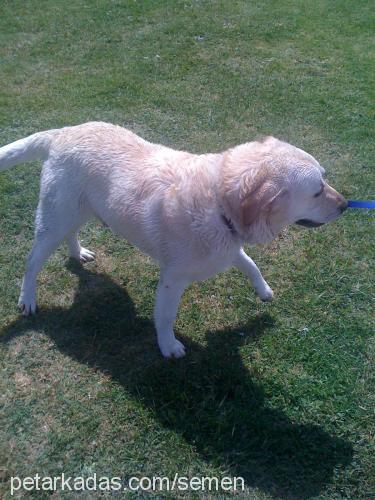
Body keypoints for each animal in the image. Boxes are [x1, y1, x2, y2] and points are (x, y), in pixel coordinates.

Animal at [0, 124, 348, 360]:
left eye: (324, 178)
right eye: (317, 191)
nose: (345, 205)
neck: (219, 203)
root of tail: (63, 131)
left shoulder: (227, 248)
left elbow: (251, 265)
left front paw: (263, 291)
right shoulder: (173, 278)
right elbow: (165, 316)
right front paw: (168, 346)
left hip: (76, 212)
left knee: (70, 235)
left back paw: (78, 252)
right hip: (53, 221)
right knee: (32, 262)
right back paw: (28, 299)